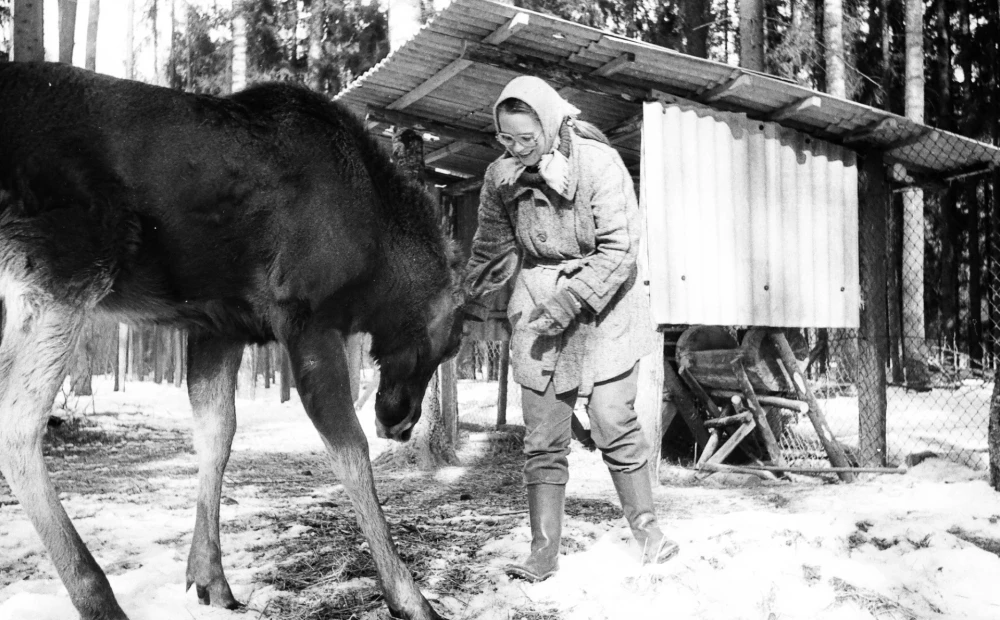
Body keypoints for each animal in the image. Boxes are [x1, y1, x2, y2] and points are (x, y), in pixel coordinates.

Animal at [0, 61, 508, 620]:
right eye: (452, 341)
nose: (398, 422)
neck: (376, 265)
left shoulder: (217, 326)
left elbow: (217, 436)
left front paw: (209, 579)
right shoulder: (306, 318)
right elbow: (349, 450)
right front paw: (408, 595)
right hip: (73, 263)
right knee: (17, 423)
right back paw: (97, 595)